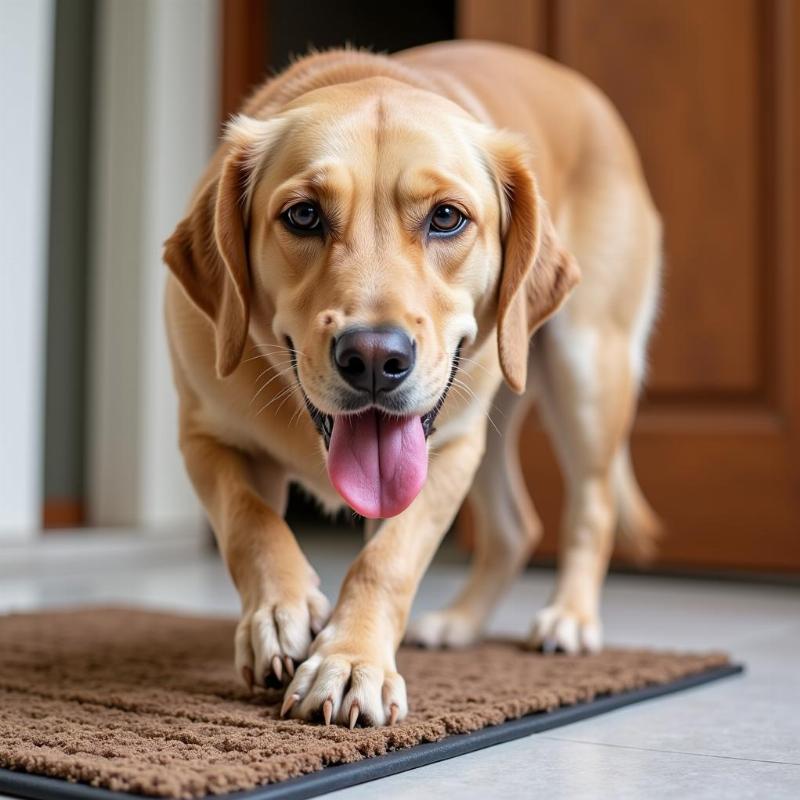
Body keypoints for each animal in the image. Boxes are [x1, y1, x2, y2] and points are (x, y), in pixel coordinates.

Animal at [164, 40, 664, 728]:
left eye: (447, 218)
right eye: (303, 215)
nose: (375, 358)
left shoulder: (445, 450)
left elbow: (386, 562)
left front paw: (351, 661)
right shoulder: (205, 436)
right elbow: (250, 522)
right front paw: (280, 612)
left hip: (585, 370)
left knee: (592, 507)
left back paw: (569, 618)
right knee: (515, 528)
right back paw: (458, 623)